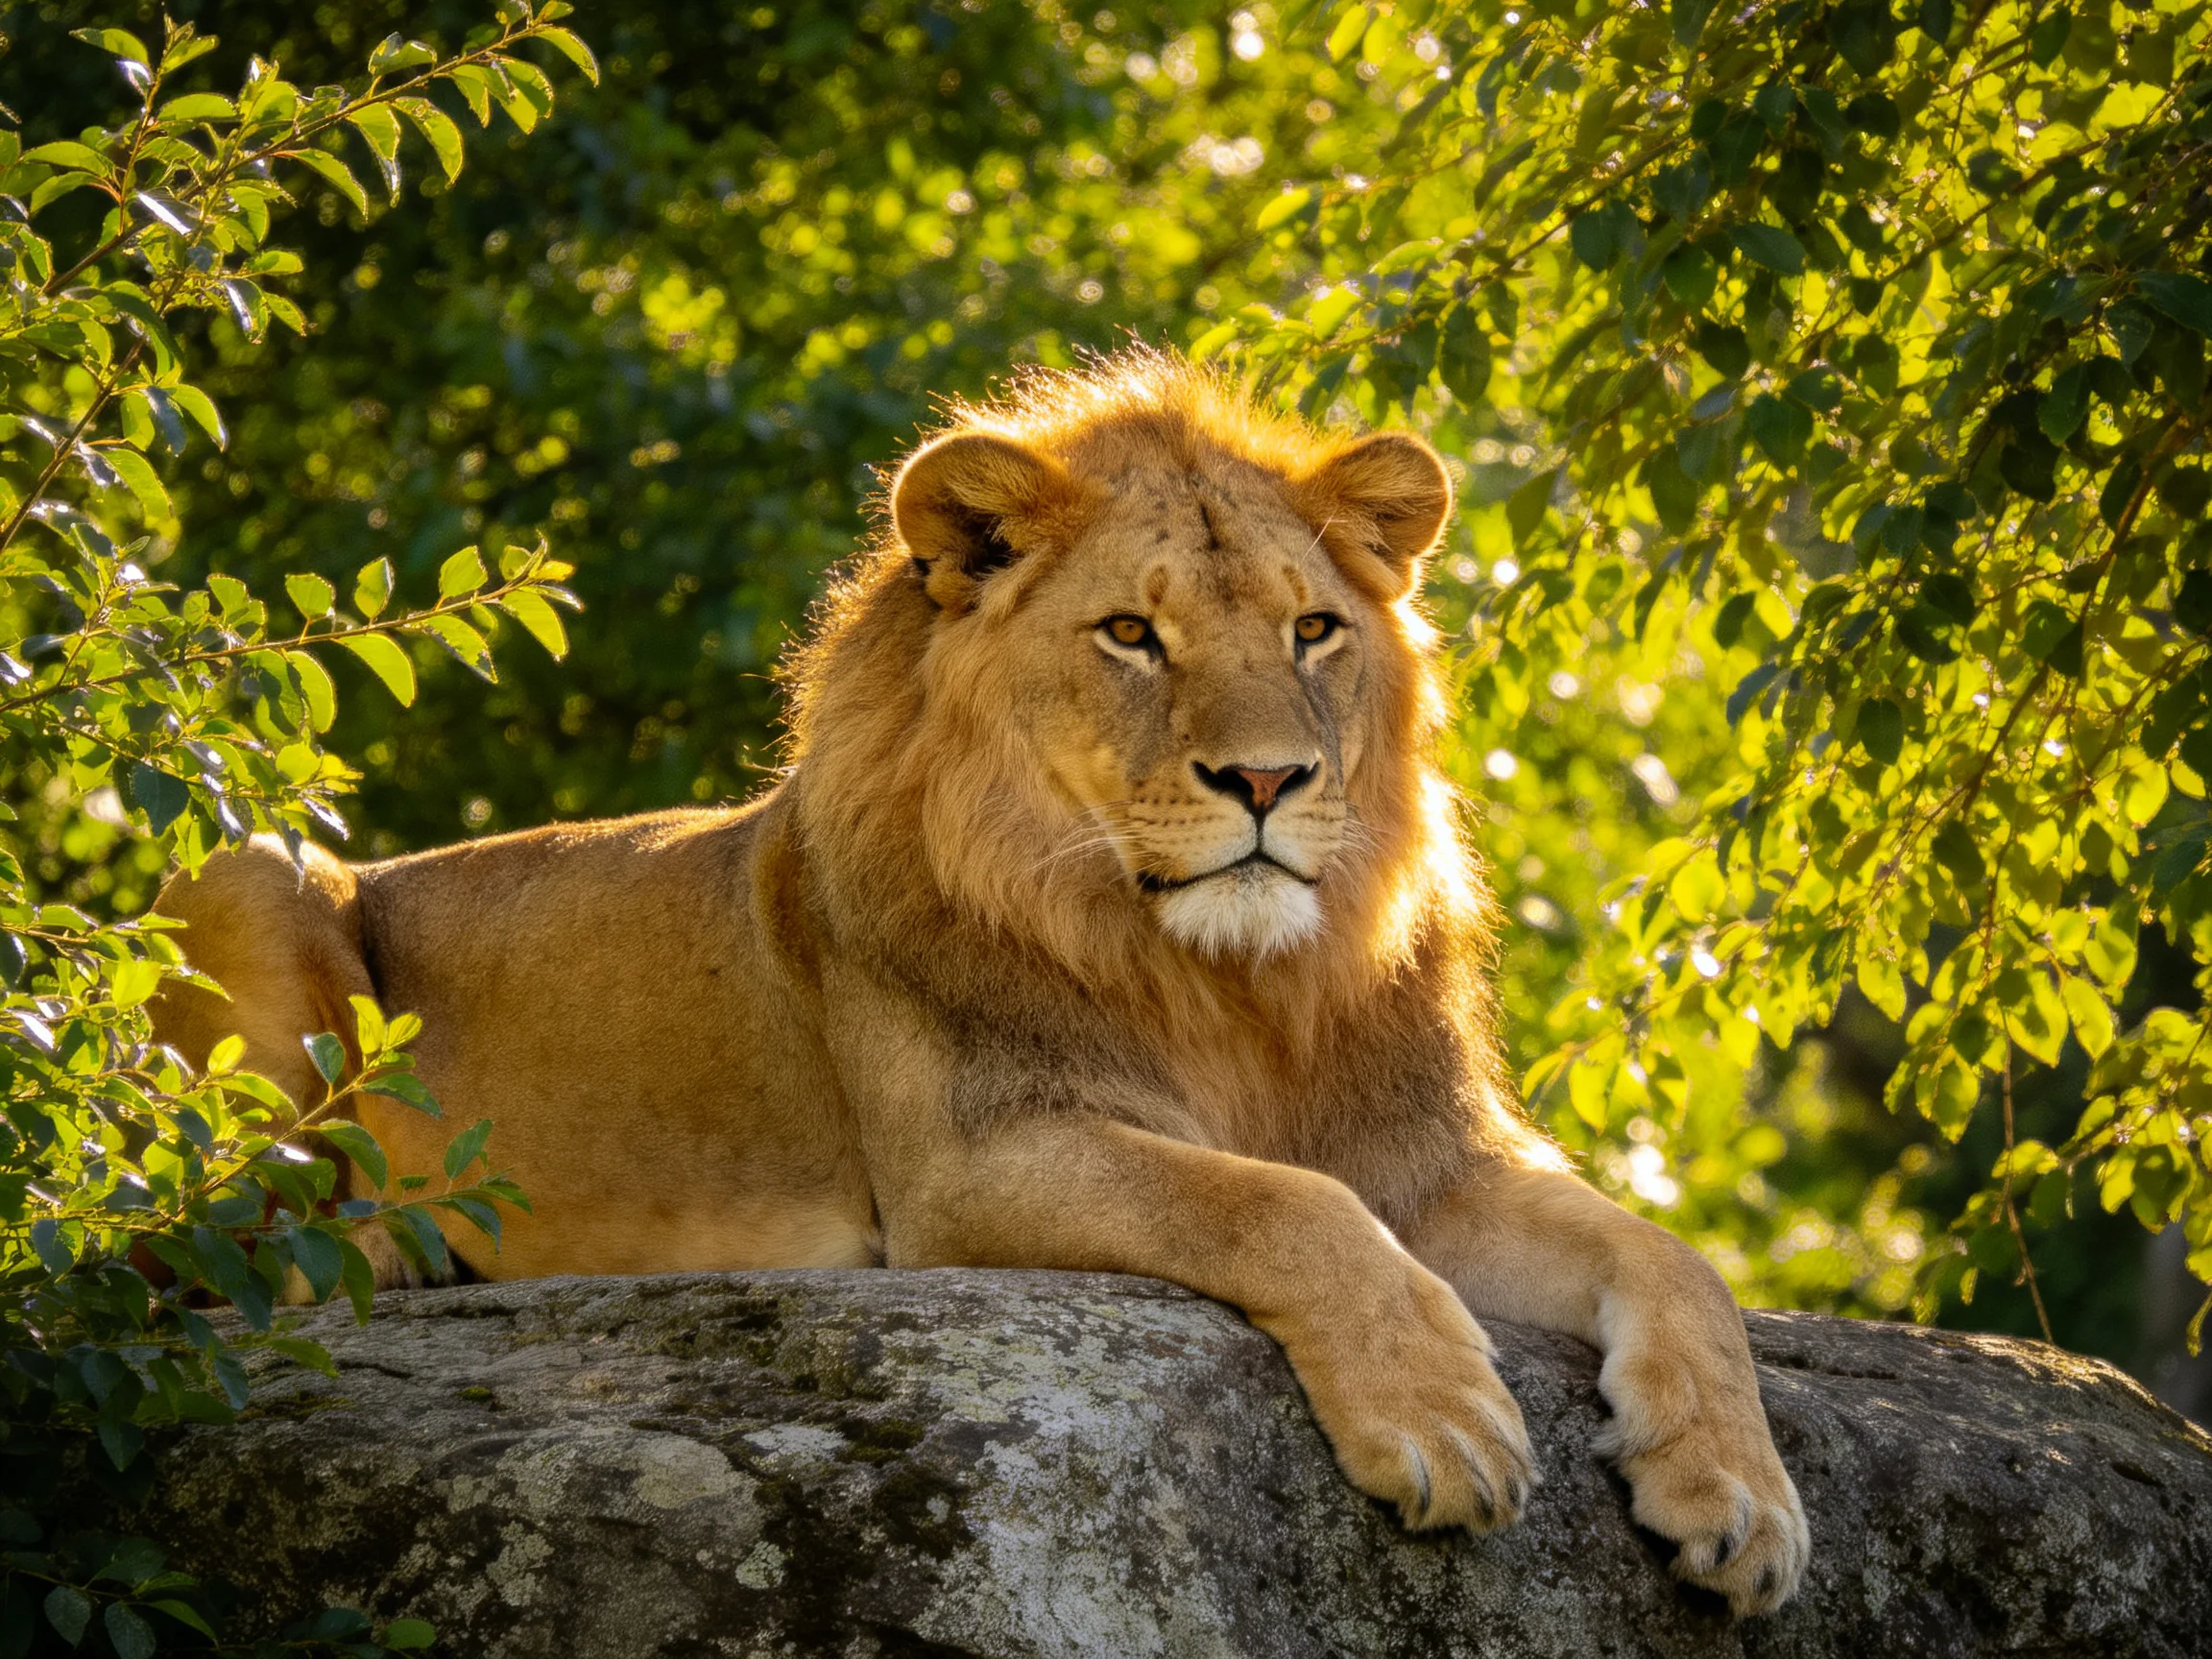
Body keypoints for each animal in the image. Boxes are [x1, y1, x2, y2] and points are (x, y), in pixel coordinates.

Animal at [151, 350, 1809, 1613]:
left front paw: (1742, 1496)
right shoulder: (965, 1171)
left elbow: (1677, 1260)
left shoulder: (1428, 1159)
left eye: (1314, 630)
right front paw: (1444, 1418)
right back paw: (382, 1249)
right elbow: (1274, 1204)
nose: (1269, 780)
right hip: (248, 869)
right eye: (1132, 634)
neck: (1232, 990)